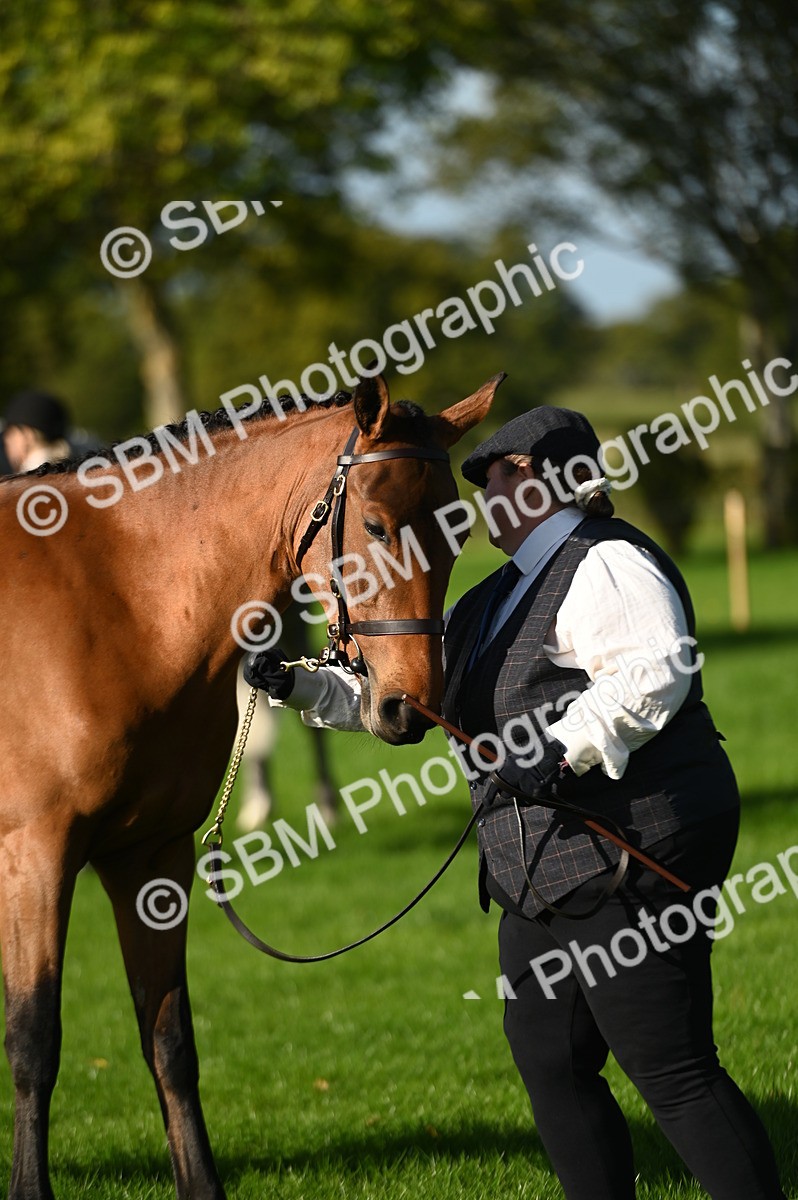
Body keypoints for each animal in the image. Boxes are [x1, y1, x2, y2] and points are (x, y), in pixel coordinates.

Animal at [0, 369, 500, 1200]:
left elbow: (169, 1037)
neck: (117, 603)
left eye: (457, 535)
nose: (408, 707)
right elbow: (34, 1041)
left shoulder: (152, 856)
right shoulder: (34, 859)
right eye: (375, 524)